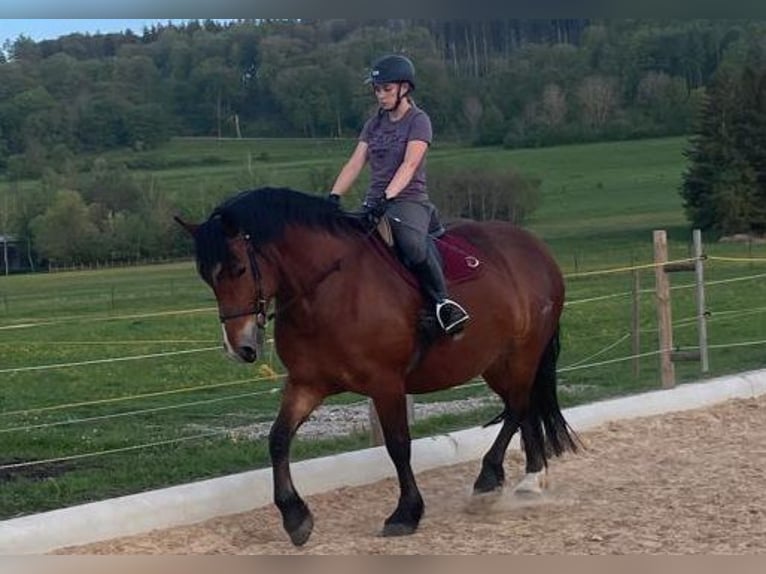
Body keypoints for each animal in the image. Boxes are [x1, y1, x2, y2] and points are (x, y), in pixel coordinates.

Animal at [177, 188, 580, 548]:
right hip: (495, 362)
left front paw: (406, 514)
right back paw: (530, 480)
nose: (239, 348)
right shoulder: (307, 383)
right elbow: (278, 439)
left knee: (517, 407)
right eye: (206, 277)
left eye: (238, 269)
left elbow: (398, 446)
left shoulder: (386, 383)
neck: (327, 293)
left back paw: (489, 480)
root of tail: (534, 247)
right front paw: (295, 518)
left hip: (523, 354)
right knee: (522, 408)